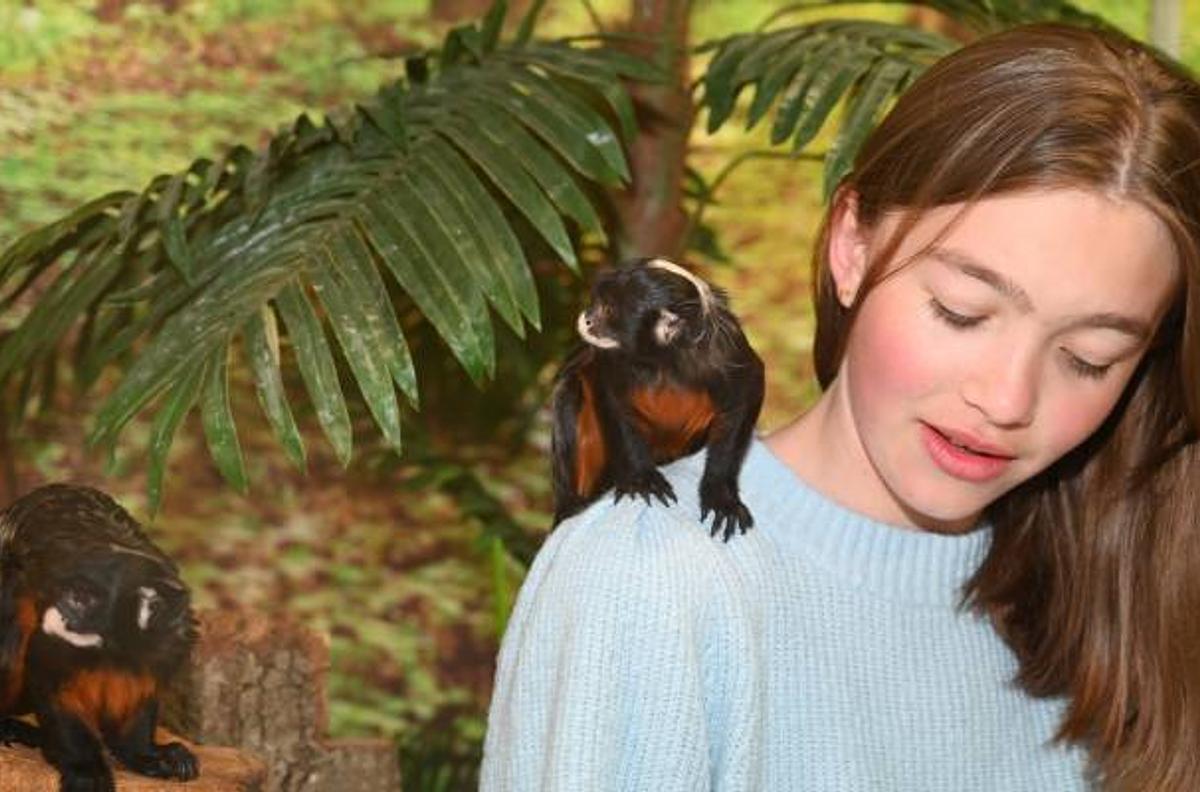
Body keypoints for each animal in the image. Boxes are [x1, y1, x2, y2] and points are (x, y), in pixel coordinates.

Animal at [0, 484, 199, 792]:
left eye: (83, 600)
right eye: (73, 596)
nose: (60, 614)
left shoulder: (171, 642)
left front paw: (146, 755)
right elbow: (56, 690)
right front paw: (85, 769)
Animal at [551, 258, 765, 541]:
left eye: (607, 309)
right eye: (596, 302)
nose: (586, 318)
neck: (664, 362)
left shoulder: (725, 351)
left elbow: (747, 389)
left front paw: (721, 495)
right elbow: (610, 396)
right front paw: (641, 477)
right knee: (569, 393)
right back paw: (572, 505)